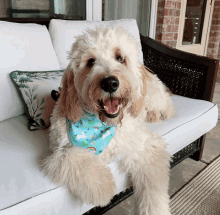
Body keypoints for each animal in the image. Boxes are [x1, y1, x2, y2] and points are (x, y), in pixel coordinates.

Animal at [42, 26, 174, 215]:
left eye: (119, 58)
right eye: (90, 62)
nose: (110, 83)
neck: (101, 123)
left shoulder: (146, 145)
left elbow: (153, 189)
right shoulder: (57, 149)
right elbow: (70, 156)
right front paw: (103, 188)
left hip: (153, 97)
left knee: (167, 106)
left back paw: (156, 114)